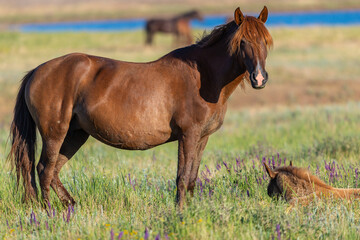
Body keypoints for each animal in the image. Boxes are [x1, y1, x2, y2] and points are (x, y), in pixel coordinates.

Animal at [8, 6, 272, 207]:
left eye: (265, 42)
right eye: (242, 42)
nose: (259, 78)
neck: (202, 77)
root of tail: (37, 71)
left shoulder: (202, 137)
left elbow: (192, 178)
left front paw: (190, 209)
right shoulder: (188, 135)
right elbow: (182, 177)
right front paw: (180, 212)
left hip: (75, 135)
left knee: (53, 172)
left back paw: (70, 206)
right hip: (55, 134)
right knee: (44, 170)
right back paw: (49, 213)